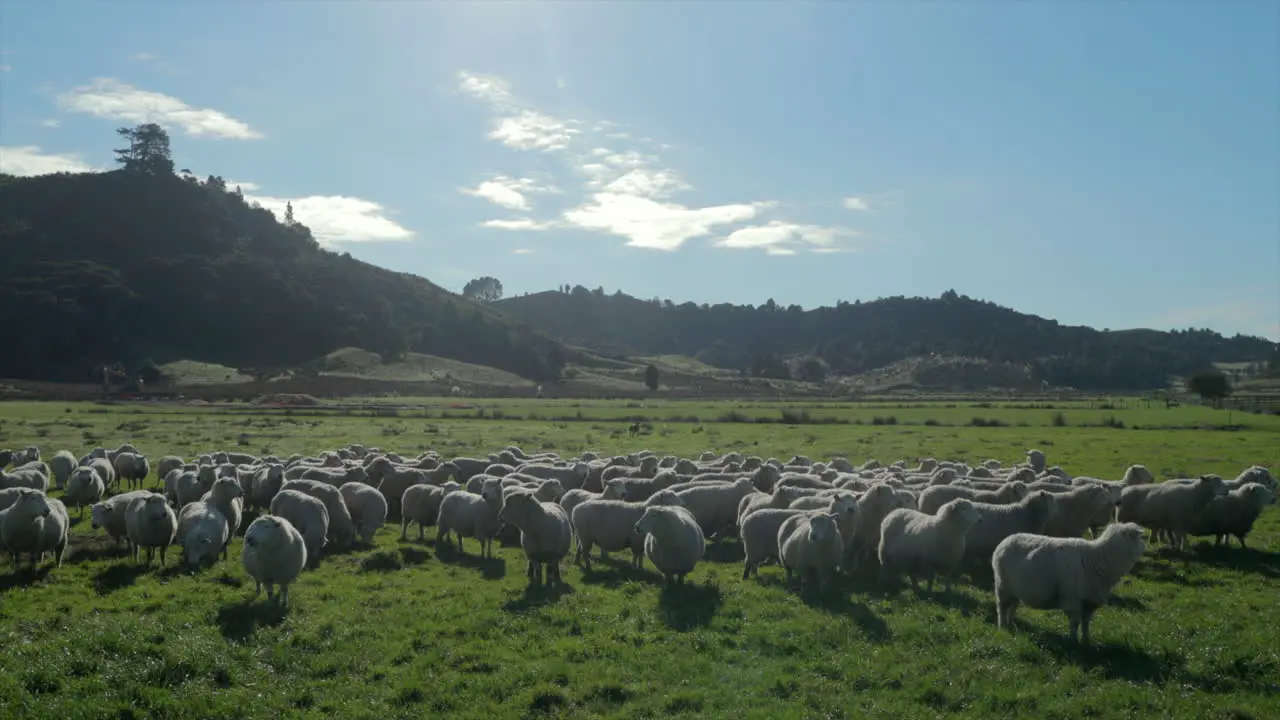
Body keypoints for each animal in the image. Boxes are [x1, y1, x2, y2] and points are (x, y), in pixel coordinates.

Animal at [988, 517, 1152, 640]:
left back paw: (1011, 623)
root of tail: (1005, 540)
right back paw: (1003, 627)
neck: (1099, 557)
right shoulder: (1072, 599)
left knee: (1013, 605)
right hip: (1002, 586)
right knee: (1002, 607)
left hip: (1015, 587)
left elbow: (1086, 623)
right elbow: (1075, 623)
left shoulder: (1089, 601)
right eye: (1138, 538)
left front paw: (1086, 640)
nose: (1145, 547)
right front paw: (1073, 641)